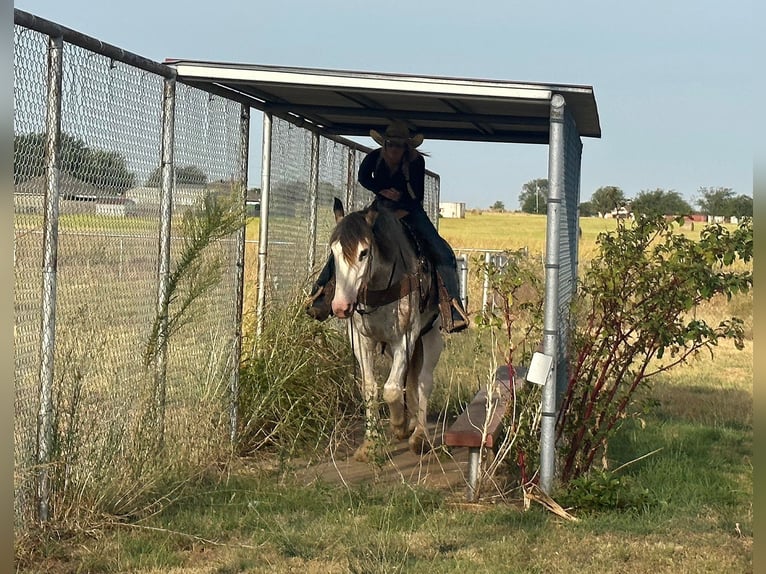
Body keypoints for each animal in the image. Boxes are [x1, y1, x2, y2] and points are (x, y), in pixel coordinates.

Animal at [328, 198, 444, 464]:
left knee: (424, 380)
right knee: (410, 379)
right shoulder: (361, 341)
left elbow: (391, 390)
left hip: (431, 336)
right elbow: (370, 388)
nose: (340, 307)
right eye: (334, 252)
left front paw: (399, 425)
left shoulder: (405, 337)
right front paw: (370, 444)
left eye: (364, 252)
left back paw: (419, 435)